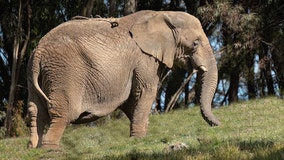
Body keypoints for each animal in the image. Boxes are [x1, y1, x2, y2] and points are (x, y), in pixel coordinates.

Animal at [26, 10, 221, 149]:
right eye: (195, 43)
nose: (219, 125)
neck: (164, 14)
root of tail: (39, 51)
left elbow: (130, 101)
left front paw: (139, 136)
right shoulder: (144, 59)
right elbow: (145, 91)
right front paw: (139, 140)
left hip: (38, 74)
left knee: (36, 110)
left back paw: (33, 148)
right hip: (65, 73)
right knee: (62, 113)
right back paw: (50, 150)